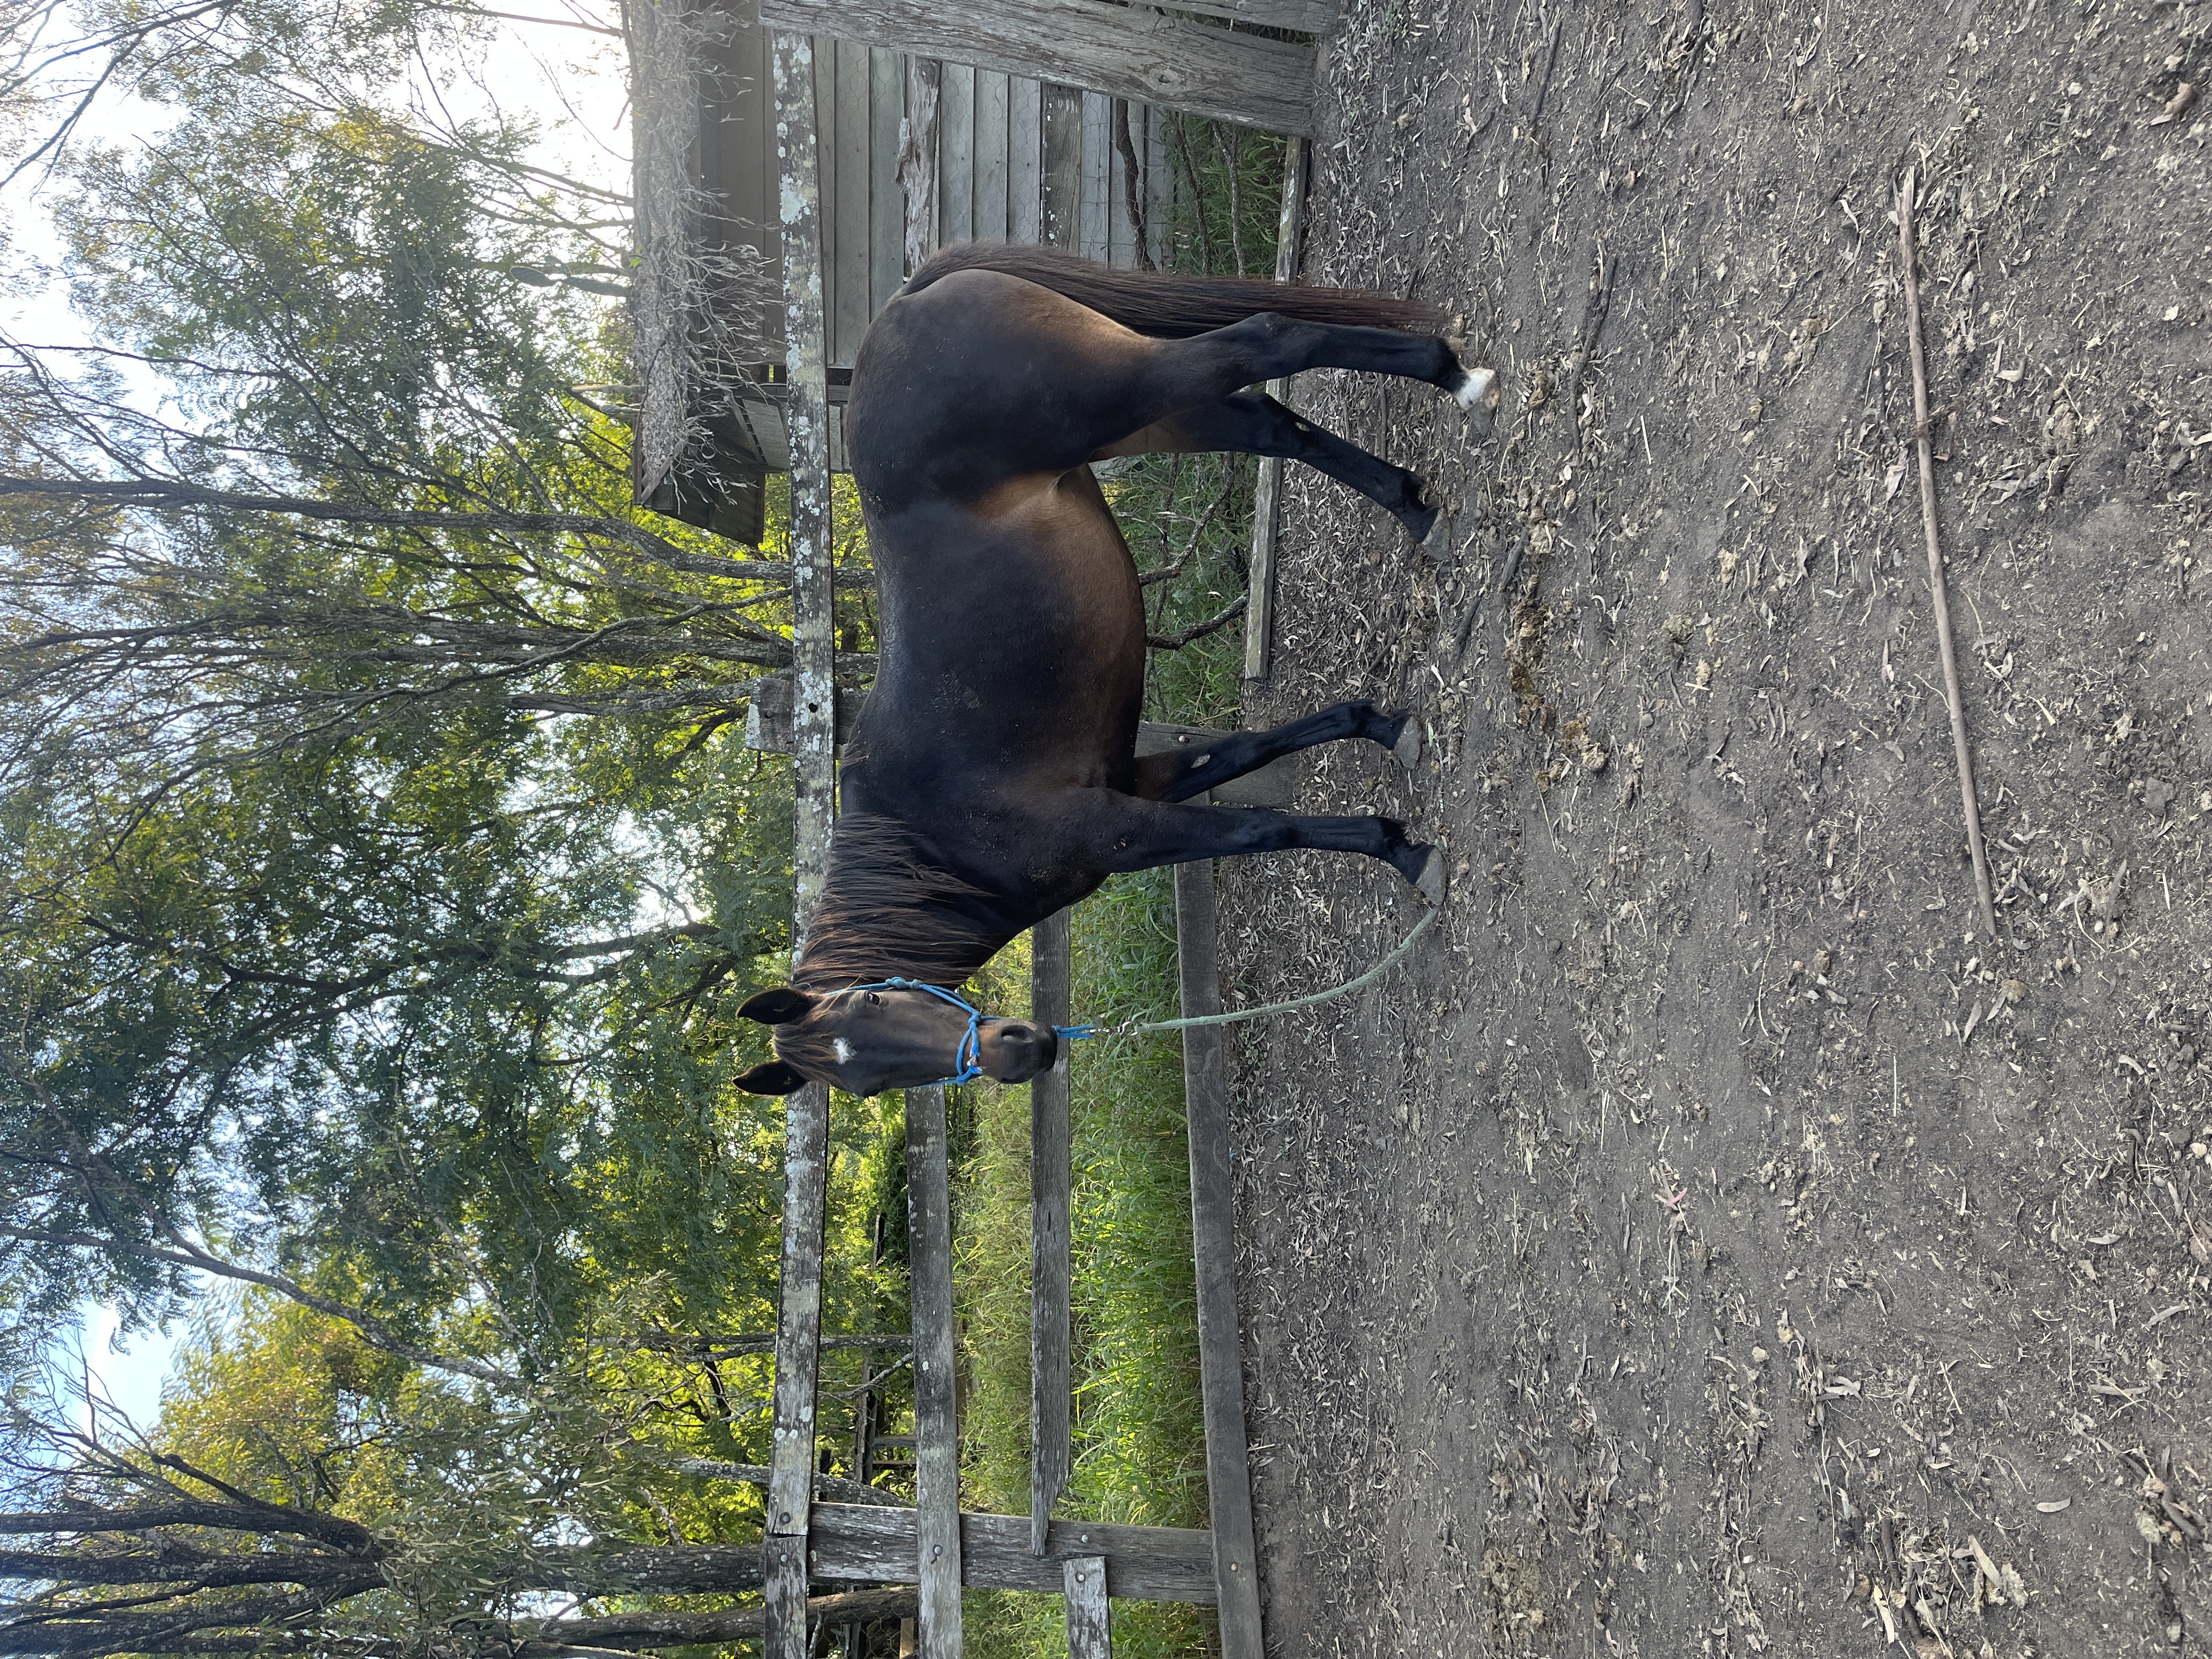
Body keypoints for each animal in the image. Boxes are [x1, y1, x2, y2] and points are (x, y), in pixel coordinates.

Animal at [734, 244, 1492, 1100]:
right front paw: (1388, 731)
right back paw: (1422, 510)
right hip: (1150, 413)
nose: (1026, 1048)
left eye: (872, 998)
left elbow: (1264, 826)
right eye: (869, 1087)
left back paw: (1459, 381)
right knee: (1269, 422)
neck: (937, 834)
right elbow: (1257, 747)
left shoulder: (1118, 830)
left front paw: (1407, 852)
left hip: (1120, 391)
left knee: (1268, 340)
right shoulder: (1140, 779)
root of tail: (904, 300)